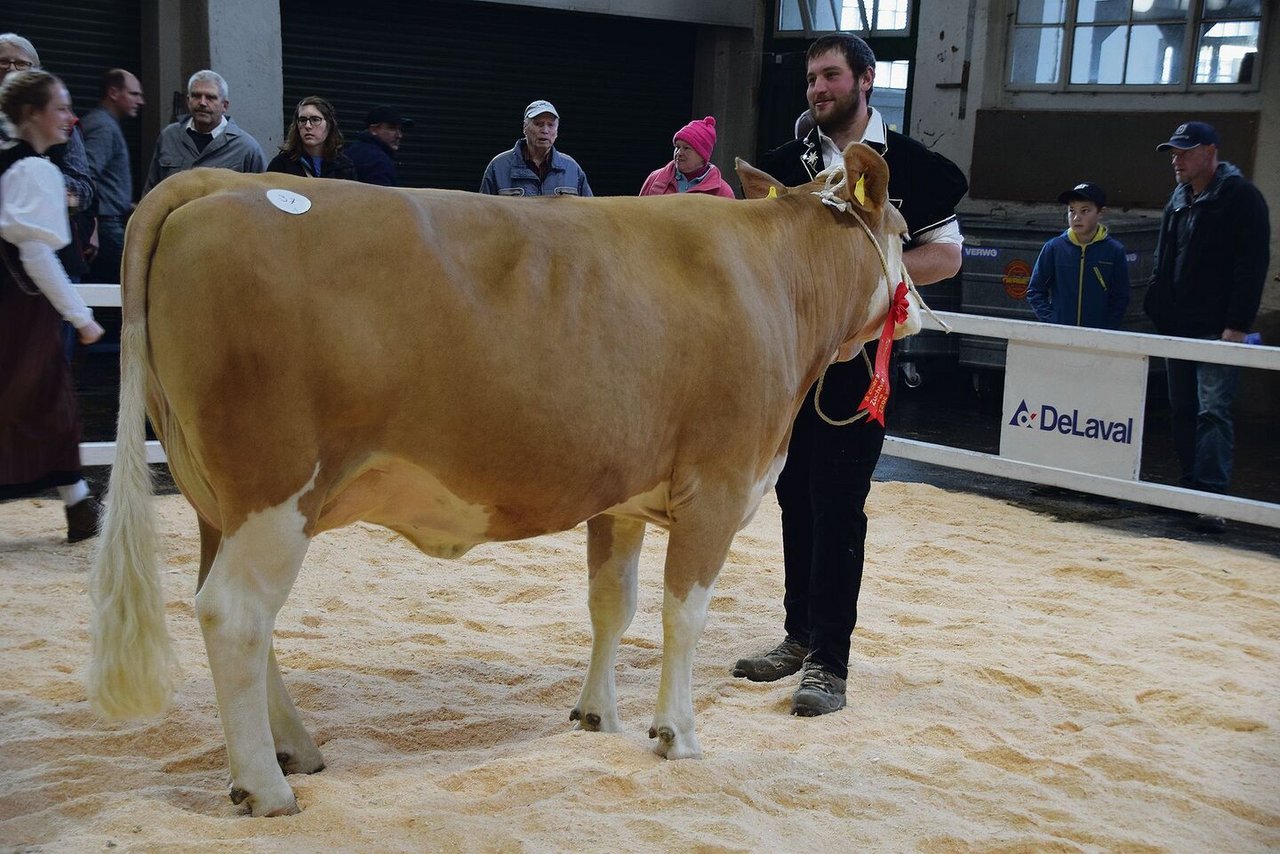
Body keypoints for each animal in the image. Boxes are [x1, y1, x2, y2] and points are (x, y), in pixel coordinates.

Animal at [90, 143, 916, 819]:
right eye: (905, 233)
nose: (917, 310)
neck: (777, 277)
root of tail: (219, 184)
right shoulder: (718, 483)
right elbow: (683, 615)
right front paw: (674, 732)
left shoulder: (621, 495)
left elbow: (611, 606)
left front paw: (596, 715)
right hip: (276, 491)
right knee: (234, 614)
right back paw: (265, 785)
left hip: (220, 502)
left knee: (239, 616)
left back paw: (294, 748)